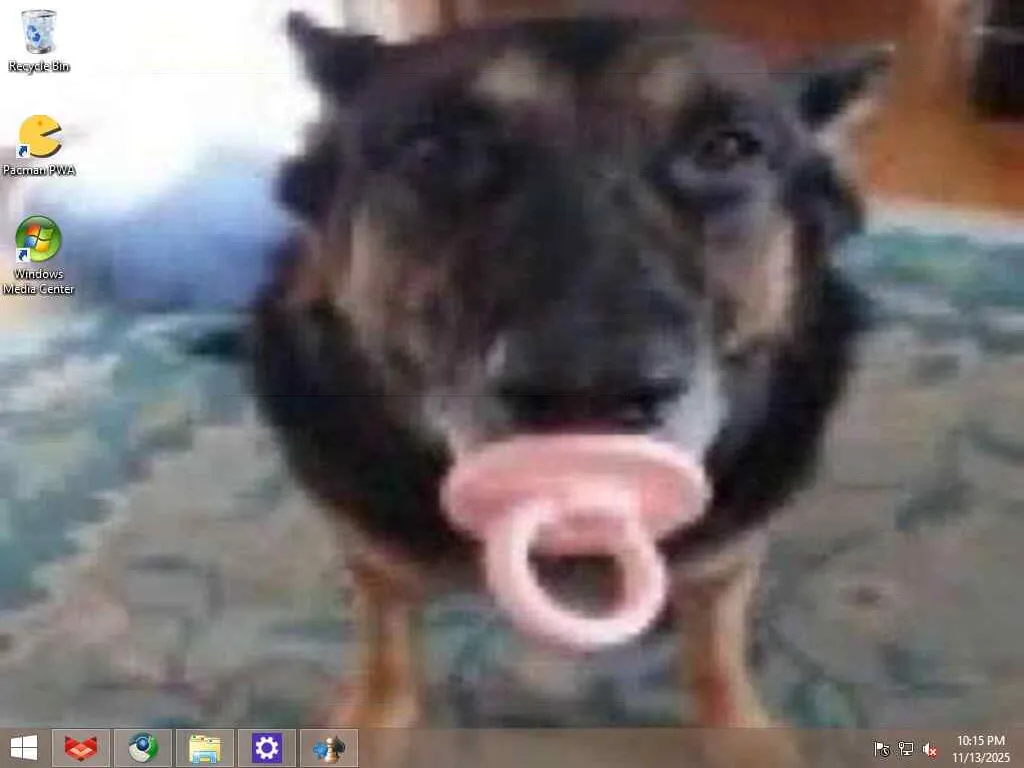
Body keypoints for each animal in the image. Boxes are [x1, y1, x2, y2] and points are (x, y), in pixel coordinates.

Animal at [250, 10, 890, 751]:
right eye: (436, 148)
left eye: (727, 149)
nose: (590, 394)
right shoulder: (375, 555)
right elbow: (385, 647)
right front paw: (368, 719)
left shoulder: (727, 557)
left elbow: (717, 649)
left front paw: (743, 731)